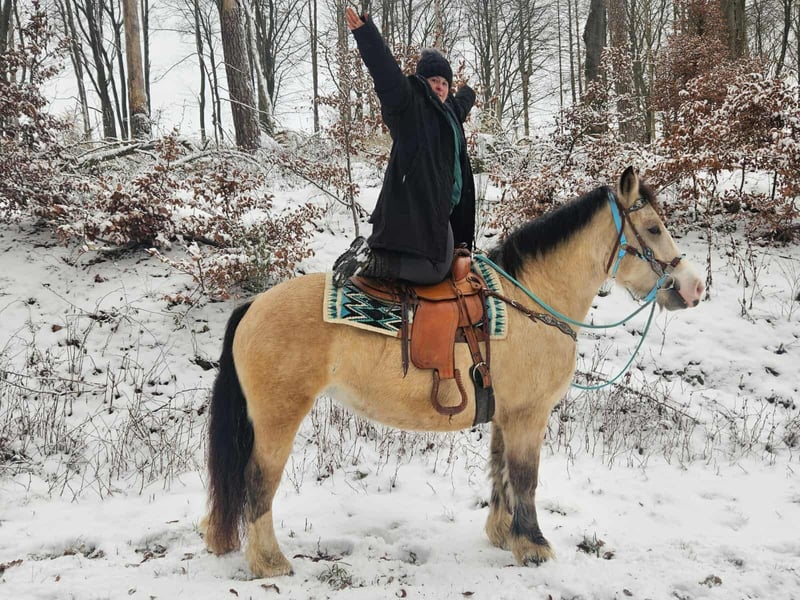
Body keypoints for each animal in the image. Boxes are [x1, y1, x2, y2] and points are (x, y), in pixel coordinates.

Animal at [201, 167, 705, 578]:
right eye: (654, 228)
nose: (694, 287)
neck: (531, 300)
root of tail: (252, 307)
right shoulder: (529, 413)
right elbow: (526, 477)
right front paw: (534, 547)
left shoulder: (506, 414)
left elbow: (501, 471)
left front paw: (503, 534)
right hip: (277, 419)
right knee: (257, 483)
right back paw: (270, 562)